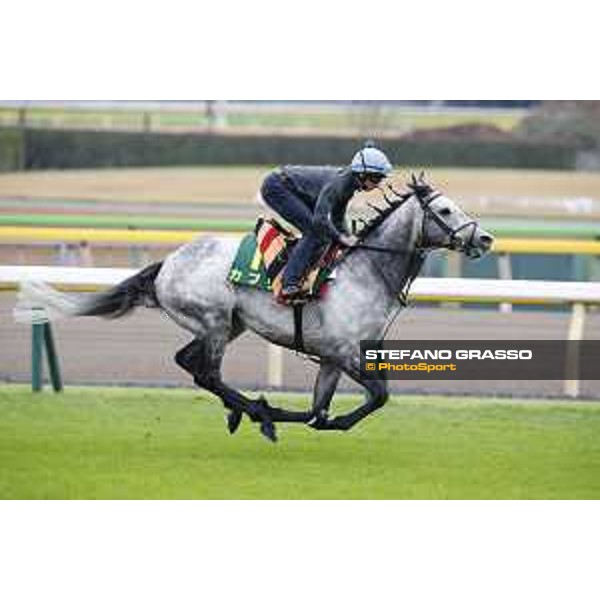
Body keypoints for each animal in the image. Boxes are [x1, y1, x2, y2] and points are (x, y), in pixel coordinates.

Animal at [16, 173, 494, 440]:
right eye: (445, 210)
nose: (486, 238)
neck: (367, 271)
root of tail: (169, 261)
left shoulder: (332, 358)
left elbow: (321, 408)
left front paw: (319, 420)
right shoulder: (344, 352)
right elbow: (378, 396)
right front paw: (298, 417)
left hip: (229, 325)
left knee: (188, 362)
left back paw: (244, 411)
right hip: (212, 320)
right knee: (207, 373)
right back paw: (259, 413)